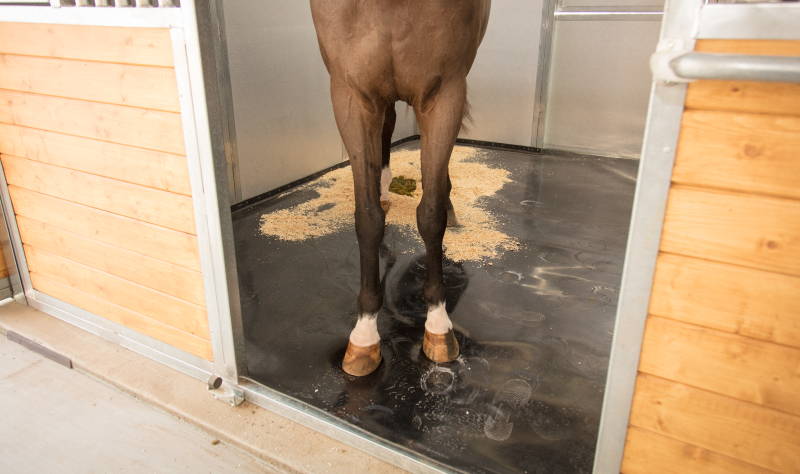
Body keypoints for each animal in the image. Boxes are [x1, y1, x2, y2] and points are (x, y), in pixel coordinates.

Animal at [310, 0, 491, 376]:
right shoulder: (351, 96)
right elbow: (367, 218)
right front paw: (364, 336)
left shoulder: (444, 95)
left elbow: (431, 214)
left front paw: (438, 325)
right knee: (387, 126)